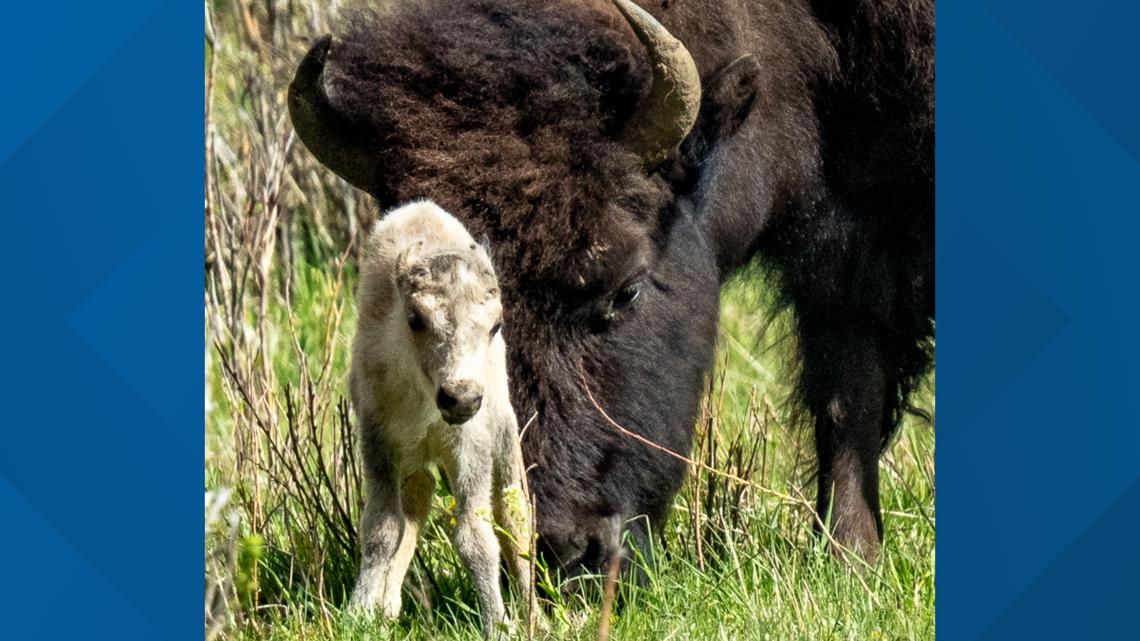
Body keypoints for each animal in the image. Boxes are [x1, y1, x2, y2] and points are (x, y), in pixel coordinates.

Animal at [288, 0, 933, 574]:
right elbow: (846, 397)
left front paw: (850, 562)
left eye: (628, 291)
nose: (563, 550)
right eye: (416, 317)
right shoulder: (842, 258)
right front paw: (853, 561)